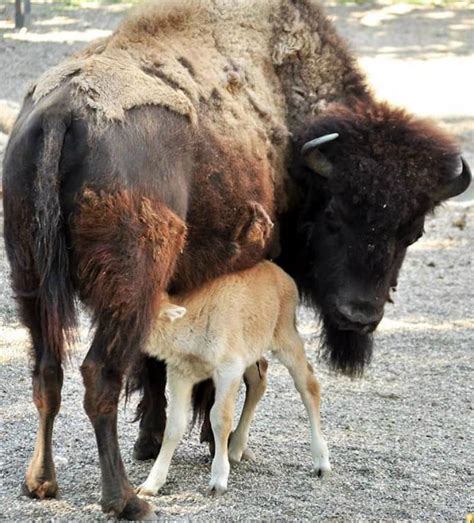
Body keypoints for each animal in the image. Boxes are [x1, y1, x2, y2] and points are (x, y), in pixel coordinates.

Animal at [137, 264, 330, 498]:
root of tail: (284, 276)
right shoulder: (180, 373)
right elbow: (174, 425)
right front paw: (150, 484)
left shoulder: (229, 369)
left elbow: (220, 418)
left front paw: (218, 482)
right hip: (252, 350)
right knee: (259, 380)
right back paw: (236, 448)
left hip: (286, 338)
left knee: (309, 385)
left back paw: (321, 463)